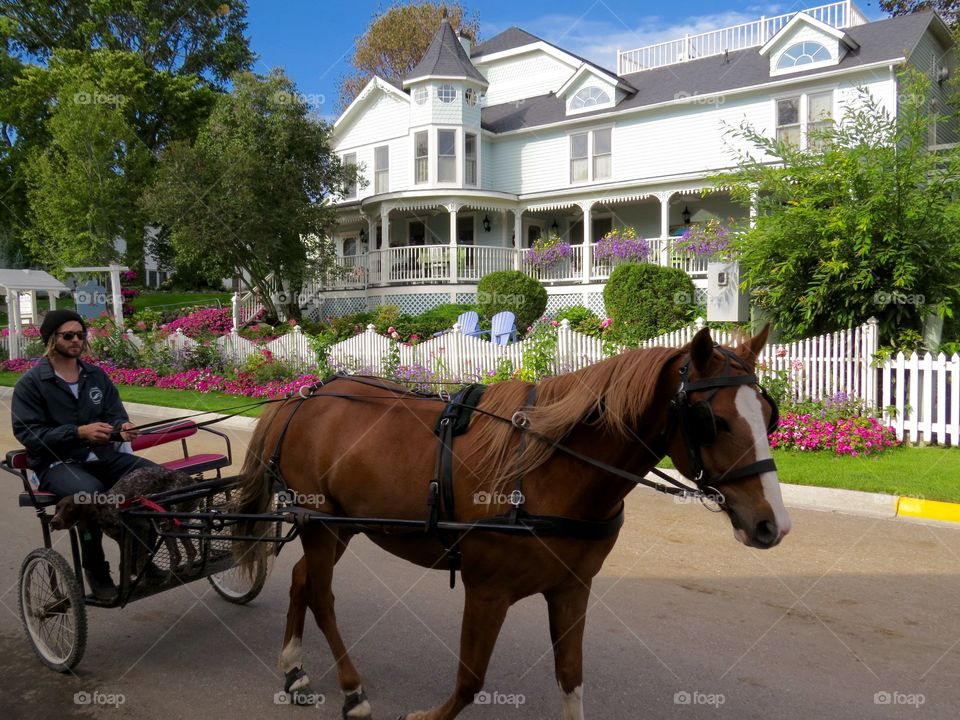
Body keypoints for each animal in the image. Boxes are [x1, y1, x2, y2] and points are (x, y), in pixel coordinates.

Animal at [51, 466, 201, 580]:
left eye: (69, 508)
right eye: (57, 508)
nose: (53, 522)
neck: (104, 507)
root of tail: (192, 482)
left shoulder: (142, 531)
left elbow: (139, 561)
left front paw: (141, 582)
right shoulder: (121, 539)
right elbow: (125, 564)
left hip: (168, 524)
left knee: (178, 554)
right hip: (174, 526)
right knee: (189, 552)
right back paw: (184, 573)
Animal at [236, 328, 792, 720]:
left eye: (768, 415)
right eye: (712, 421)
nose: (773, 525)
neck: (550, 467)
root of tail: (302, 398)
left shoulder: (572, 588)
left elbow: (571, 679)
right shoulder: (487, 589)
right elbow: (469, 682)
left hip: (340, 525)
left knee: (303, 581)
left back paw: (294, 669)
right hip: (322, 524)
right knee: (322, 595)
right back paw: (352, 690)